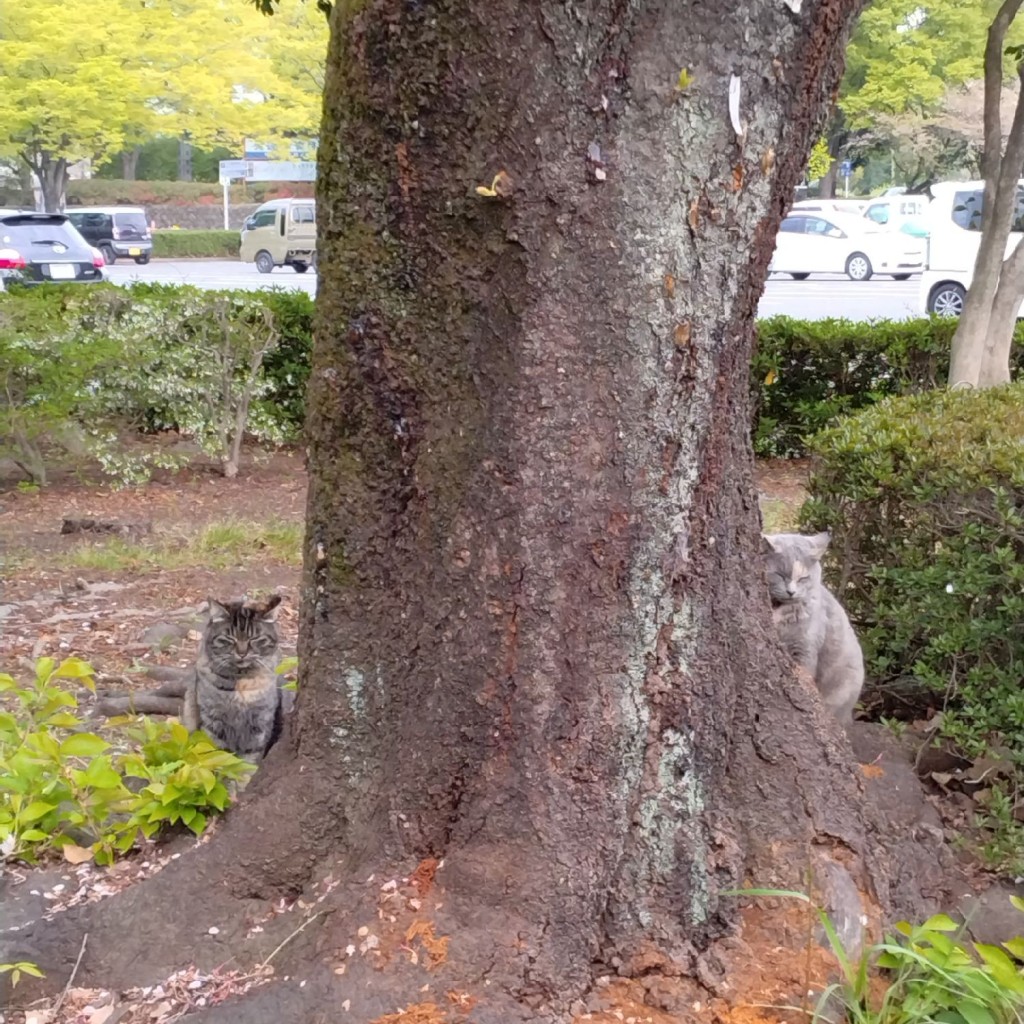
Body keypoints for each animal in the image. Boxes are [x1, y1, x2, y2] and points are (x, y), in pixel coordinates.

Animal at [181, 593, 284, 761]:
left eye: (254, 638)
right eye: (230, 638)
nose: (242, 653)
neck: (240, 683)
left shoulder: (259, 722)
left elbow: (250, 758)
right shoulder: (213, 720)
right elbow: (218, 754)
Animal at [761, 532, 864, 724]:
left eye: (803, 578)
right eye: (780, 575)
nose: (791, 592)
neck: (781, 610)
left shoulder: (804, 648)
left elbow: (804, 675)